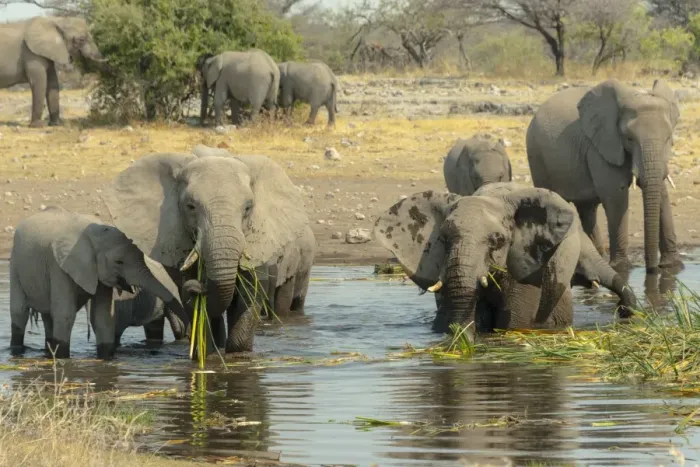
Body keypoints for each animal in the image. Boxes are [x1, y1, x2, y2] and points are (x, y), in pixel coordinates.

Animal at [9, 207, 187, 359]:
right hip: (16, 263)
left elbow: (103, 316)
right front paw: (62, 359)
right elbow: (65, 314)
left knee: (48, 317)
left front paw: (106, 359)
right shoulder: (59, 266)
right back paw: (17, 351)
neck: (93, 235)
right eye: (119, 262)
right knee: (20, 312)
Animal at [102, 145, 315, 355]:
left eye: (248, 208)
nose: (200, 284)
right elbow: (193, 297)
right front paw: (208, 353)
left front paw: (238, 354)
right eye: (190, 207)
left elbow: (250, 291)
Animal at [526, 79, 682, 274]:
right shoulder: (601, 147)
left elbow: (661, 191)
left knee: (587, 209)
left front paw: (672, 267)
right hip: (537, 156)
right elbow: (616, 196)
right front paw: (622, 268)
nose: (652, 270)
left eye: (668, 138)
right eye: (629, 138)